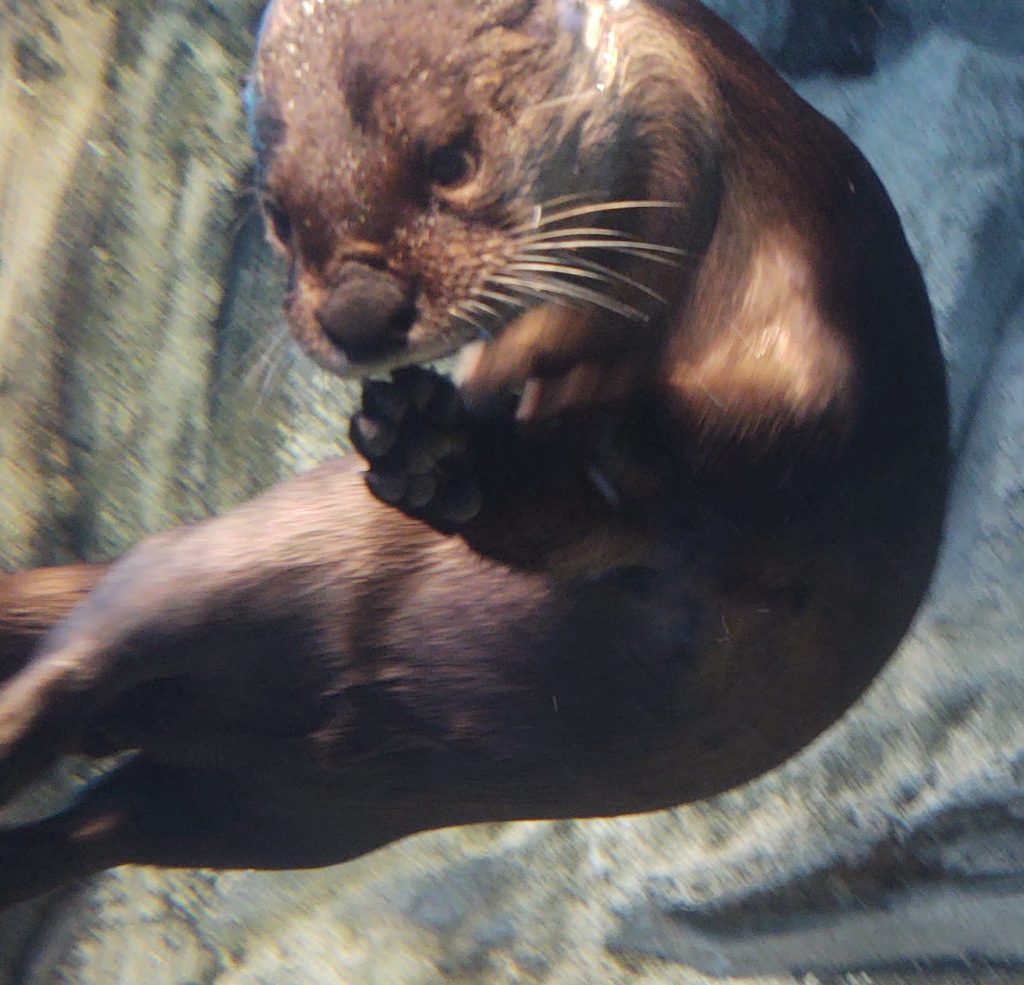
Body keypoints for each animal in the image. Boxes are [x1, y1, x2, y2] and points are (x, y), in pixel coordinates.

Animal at [0, 0, 947, 909]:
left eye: (453, 159)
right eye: (276, 215)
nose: (359, 310)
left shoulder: (818, 403)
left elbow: (668, 485)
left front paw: (450, 447)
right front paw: (440, 446)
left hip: (263, 814)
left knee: (106, 816)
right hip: (229, 570)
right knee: (96, 647)